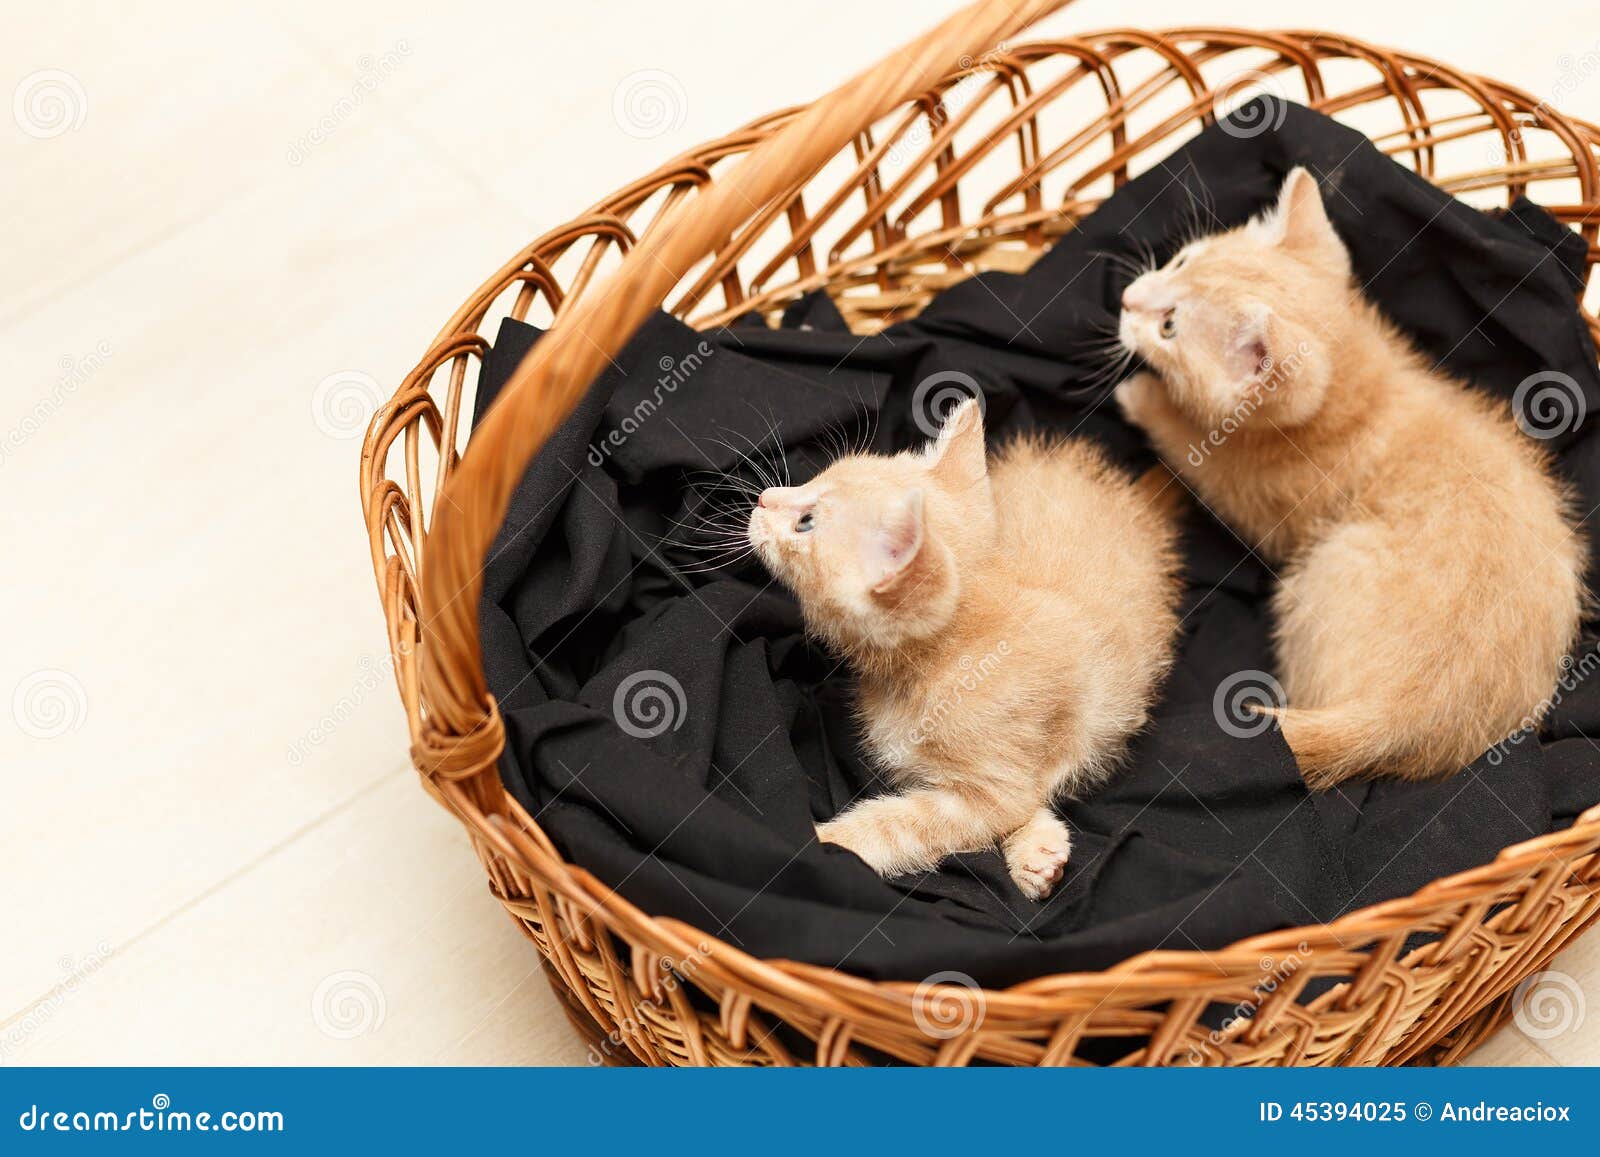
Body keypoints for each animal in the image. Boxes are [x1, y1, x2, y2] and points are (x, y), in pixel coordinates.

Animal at [742, 400, 1184, 902]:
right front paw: (1039, 848)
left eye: (807, 523)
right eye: (814, 481)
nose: (764, 497)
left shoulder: (991, 788)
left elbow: (906, 824)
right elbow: (1026, 799)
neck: (941, 658)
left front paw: (820, 841)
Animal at [1113, 164, 1587, 787]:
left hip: (1322, 565)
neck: (1353, 391)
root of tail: (1397, 718)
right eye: (1180, 261)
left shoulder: (1264, 498)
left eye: (1169, 327)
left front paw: (1144, 398)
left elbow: (1196, 453)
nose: (1124, 299)